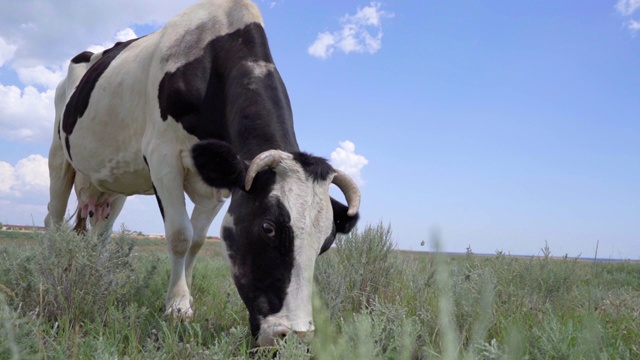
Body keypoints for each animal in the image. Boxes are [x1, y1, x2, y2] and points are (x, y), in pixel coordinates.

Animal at [47, 0, 360, 348]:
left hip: (113, 182)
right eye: (268, 228)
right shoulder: (163, 157)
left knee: (101, 232)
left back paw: (99, 276)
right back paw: (51, 273)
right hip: (59, 155)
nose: (294, 335)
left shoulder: (219, 187)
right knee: (54, 218)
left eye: (327, 241)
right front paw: (177, 307)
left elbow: (196, 240)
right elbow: (180, 235)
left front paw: (187, 298)